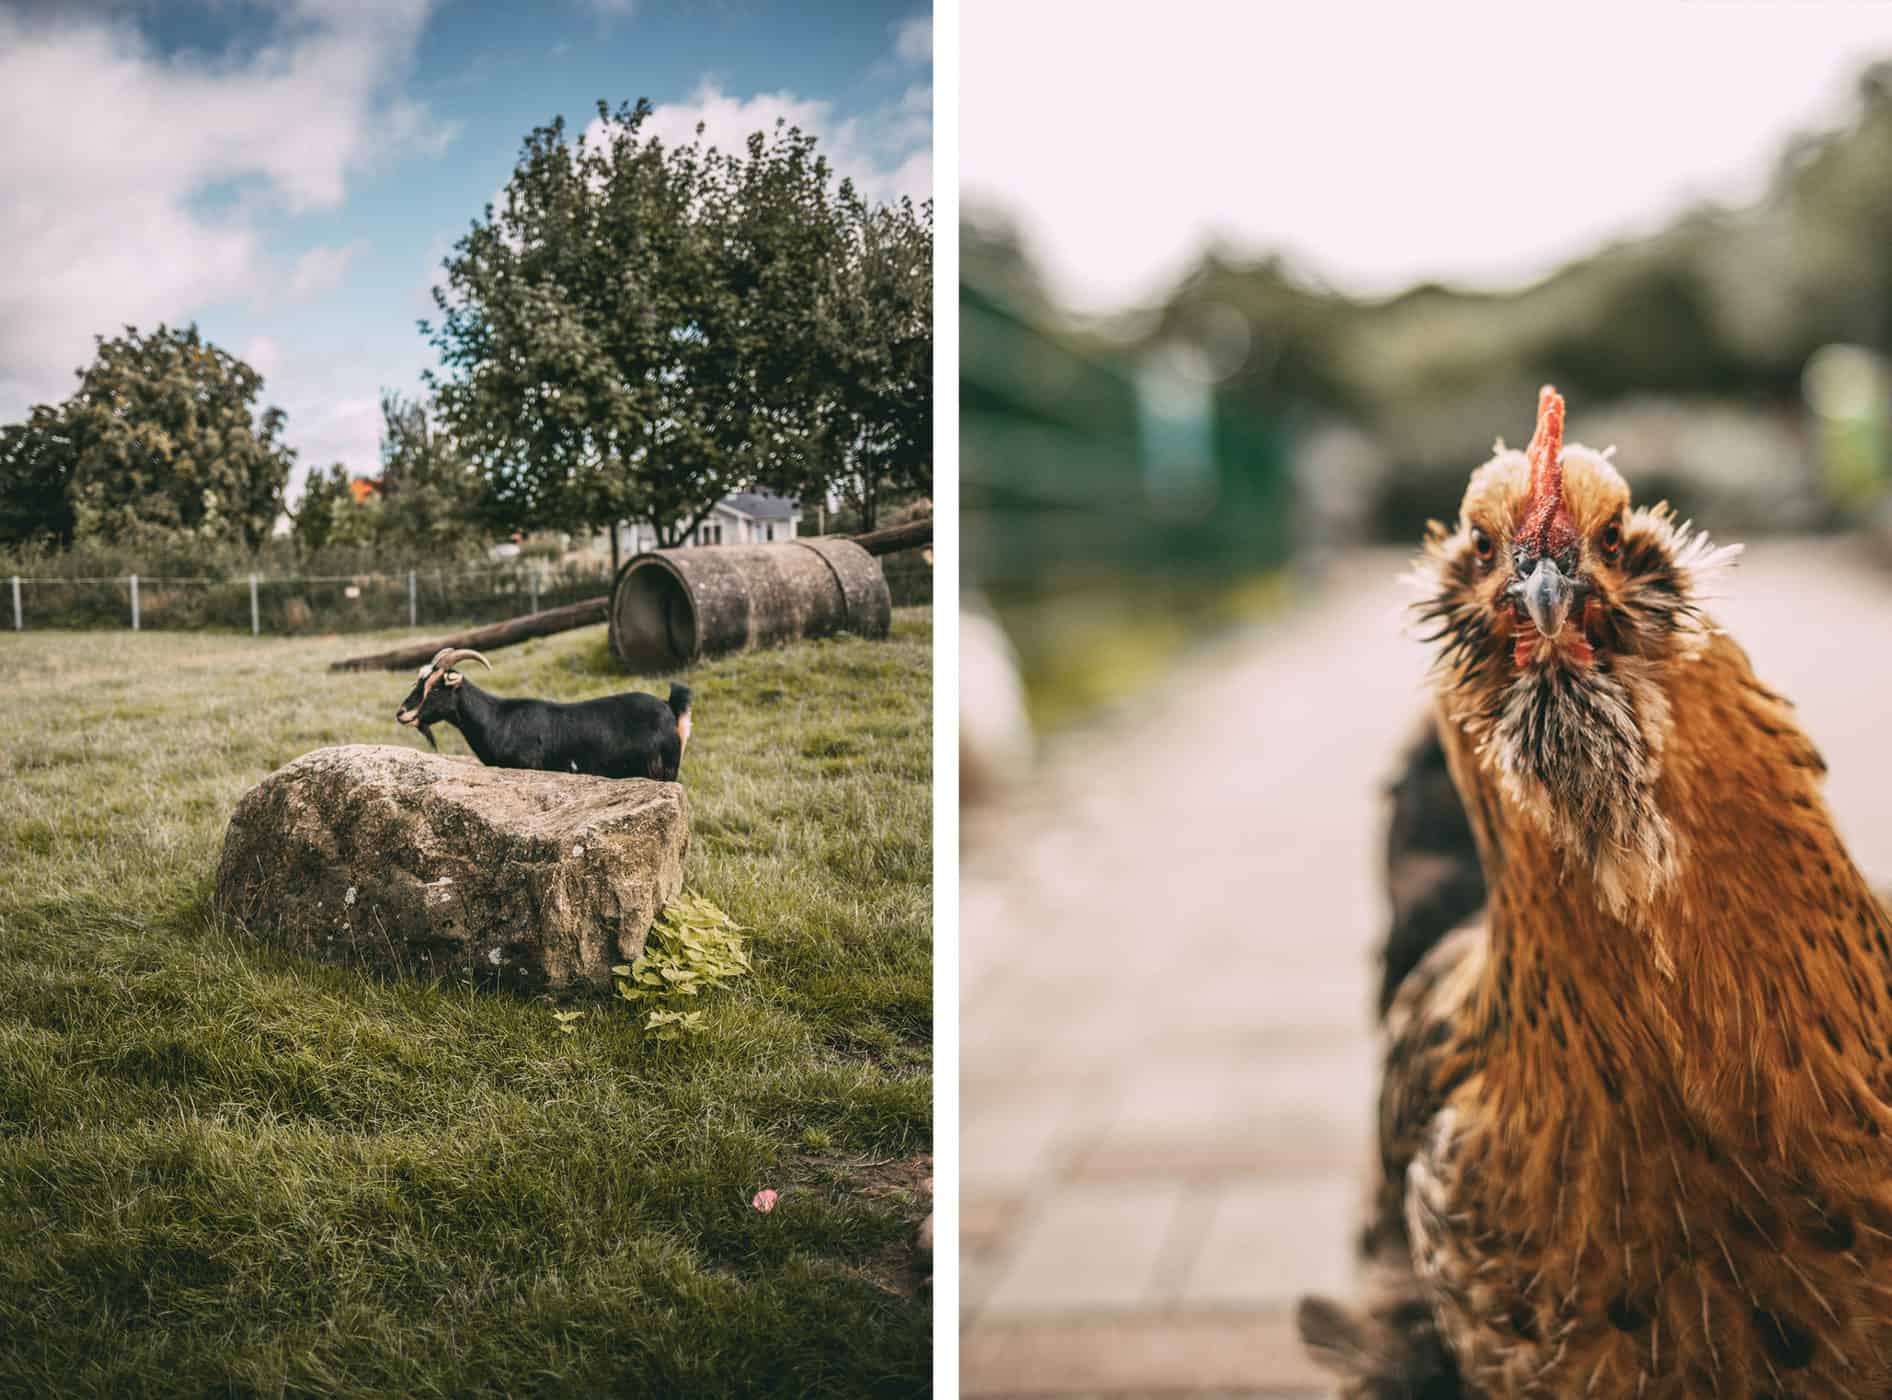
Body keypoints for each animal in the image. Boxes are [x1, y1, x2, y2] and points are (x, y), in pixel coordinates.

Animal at [393, 647, 696, 783]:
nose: (402, 713)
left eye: (435, 688)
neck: (498, 719)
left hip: (664, 769)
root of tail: (670, 706)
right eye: (418, 681)